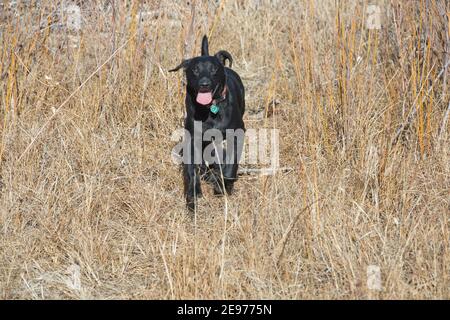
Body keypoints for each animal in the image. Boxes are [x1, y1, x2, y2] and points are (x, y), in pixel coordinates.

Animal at [170, 35, 246, 212]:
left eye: (214, 69)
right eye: (195, 70)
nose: (204, 84)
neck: (210, 109)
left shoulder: (238, 134)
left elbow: (231, 162)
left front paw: (222, 185)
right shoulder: (192, 139)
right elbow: (191, 170)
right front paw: (193, 194)